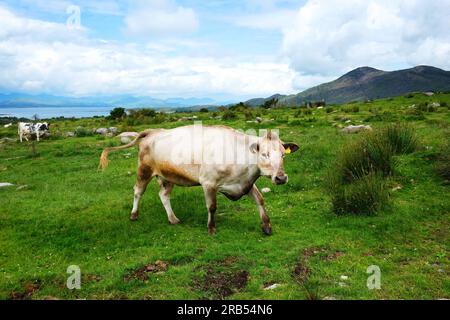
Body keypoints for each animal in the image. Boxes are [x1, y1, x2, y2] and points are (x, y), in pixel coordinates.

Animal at [100, 125, 300, 235]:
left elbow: (260, 200)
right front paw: (211, 228)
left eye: (283, 155)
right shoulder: (209, 183)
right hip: (144, 170)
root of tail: (152, 132)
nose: (281, 177)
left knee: (163, 195)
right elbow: (212, 207)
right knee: (138, 191)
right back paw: (134, 214)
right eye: (265, 154)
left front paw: (267, 226)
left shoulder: (245, 182)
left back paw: (173, 219)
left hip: (167, 176)